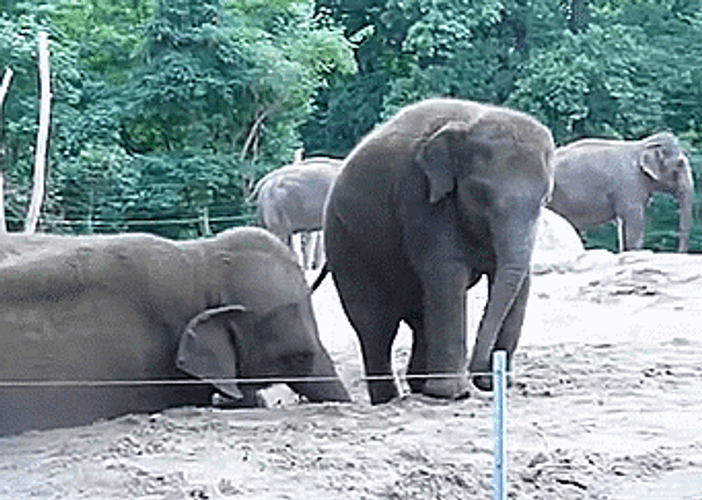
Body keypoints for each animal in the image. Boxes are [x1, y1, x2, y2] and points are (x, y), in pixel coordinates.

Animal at [322, 98, 555, 404]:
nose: (485, 377)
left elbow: (520, 281)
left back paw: (420, 386)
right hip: (345, 241)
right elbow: (446, 272)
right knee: (375, 325)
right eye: (480, 195)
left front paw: (500, 384)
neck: (469, 124)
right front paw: (454, 394)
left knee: (420, 313)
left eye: (544, 200)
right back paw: (391, 398)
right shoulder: (419, 196)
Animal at [547, 132, 694, 252]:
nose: (679, 251)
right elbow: (633, 219)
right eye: (680, 163)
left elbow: (623, 224)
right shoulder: (630, 183)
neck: (642, 145)